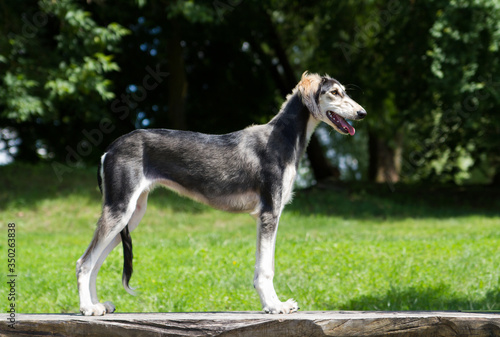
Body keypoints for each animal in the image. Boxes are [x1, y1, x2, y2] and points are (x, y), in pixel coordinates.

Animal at [78, 71, 368, 316]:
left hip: (131, 215)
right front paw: (274, 306)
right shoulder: (269, 212)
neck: (281, 136)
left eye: (344, 91)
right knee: (84, 263)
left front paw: (274, 303)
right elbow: (265, 269)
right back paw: (87, 309)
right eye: (334, 92)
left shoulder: (269, 214)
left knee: (95, 263)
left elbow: (267, 265)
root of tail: (109, 149)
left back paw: (97, 306)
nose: (362, 112)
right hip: (119, 210)